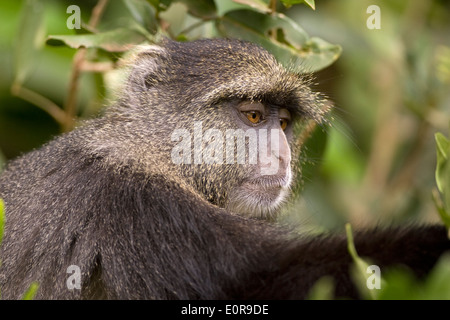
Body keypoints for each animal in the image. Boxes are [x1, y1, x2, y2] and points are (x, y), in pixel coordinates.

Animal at [0, 38, 448, 300]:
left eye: (284, 123)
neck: (150, 152)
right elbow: (269, 279)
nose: (283, 156)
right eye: (253, 116)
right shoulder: (138, 205)